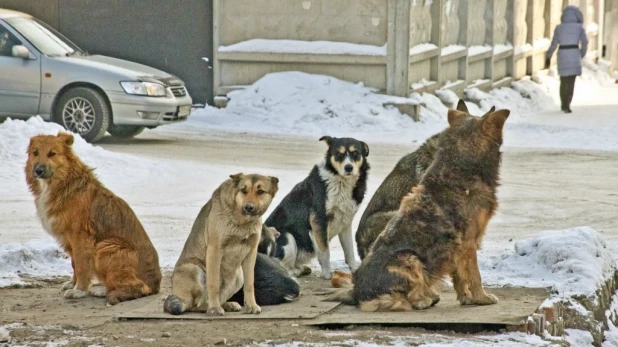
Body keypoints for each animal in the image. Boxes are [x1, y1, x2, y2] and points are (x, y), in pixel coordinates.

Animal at [25, 133, 162, 304]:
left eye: (52, 153)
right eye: (35, 153)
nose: (38, 170)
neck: (63, 184)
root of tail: (155, 286)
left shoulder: (81, 237)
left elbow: (82, 266)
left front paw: (79, 290)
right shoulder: (69, 240)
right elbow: (74, 263)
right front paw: (73, 284)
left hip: (108, 246)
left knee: (137, 287)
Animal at [165, 173, 278, 316]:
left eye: (260, 191)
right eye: (243, 190)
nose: (248, 207)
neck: (241, 222)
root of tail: (180, 297)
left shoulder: (251, 253)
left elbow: (250, 284)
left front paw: (251, 305)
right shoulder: (215, 249)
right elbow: (213, 284)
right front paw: (214, 308)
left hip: (239, 276)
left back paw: (226, 305)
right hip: (193, 269)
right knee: (196, 305)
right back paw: (212, 307)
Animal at [262, 136, 368, 280]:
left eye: (355, 153)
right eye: (339, 154)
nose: (348, 168)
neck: (340, 181)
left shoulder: (345, 223)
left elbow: (349, 251)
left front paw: (355, 269)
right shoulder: (319, 220)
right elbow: (325, 251)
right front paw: (328, 274)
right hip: (287, 238)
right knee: (281, 265)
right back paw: (295, 272)